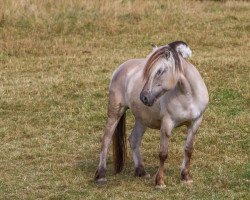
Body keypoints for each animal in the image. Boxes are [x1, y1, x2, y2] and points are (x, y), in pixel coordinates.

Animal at [94, 41, 209, 189]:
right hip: (115, 112)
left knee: (134, 139)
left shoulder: (195, 123)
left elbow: (188, 150)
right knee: (106, 140)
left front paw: (185, 177)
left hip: (142, 119)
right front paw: (160, 182)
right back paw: (101, 175)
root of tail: (120, 68)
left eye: (160, 71)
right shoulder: (167, 125)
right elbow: (163, 154)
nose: (144, 97)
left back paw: (141, 171)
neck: (188, 97)